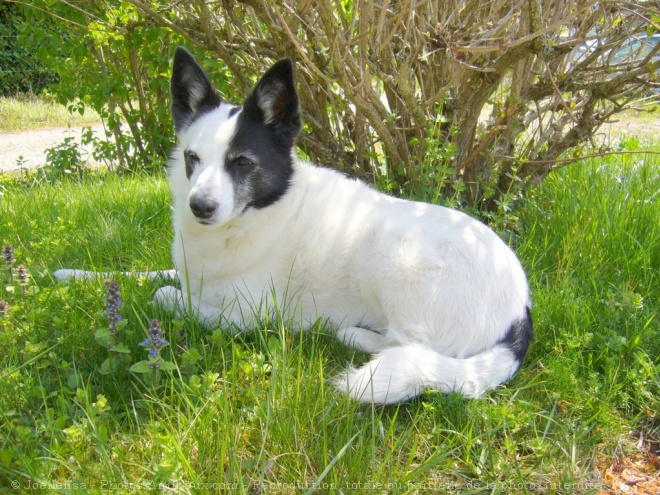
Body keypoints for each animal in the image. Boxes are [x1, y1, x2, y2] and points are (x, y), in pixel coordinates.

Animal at [55, 46, 532, 404]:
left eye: (241, 162)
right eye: (193, 158)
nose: (200, 208)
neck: (260, 214)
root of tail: (521, 311)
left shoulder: (246, 315)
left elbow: (163, 294)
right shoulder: (191, 271)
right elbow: (140, 274)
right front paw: (69, 274)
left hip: (396, 253)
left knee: (410, 347)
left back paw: (348, 334)